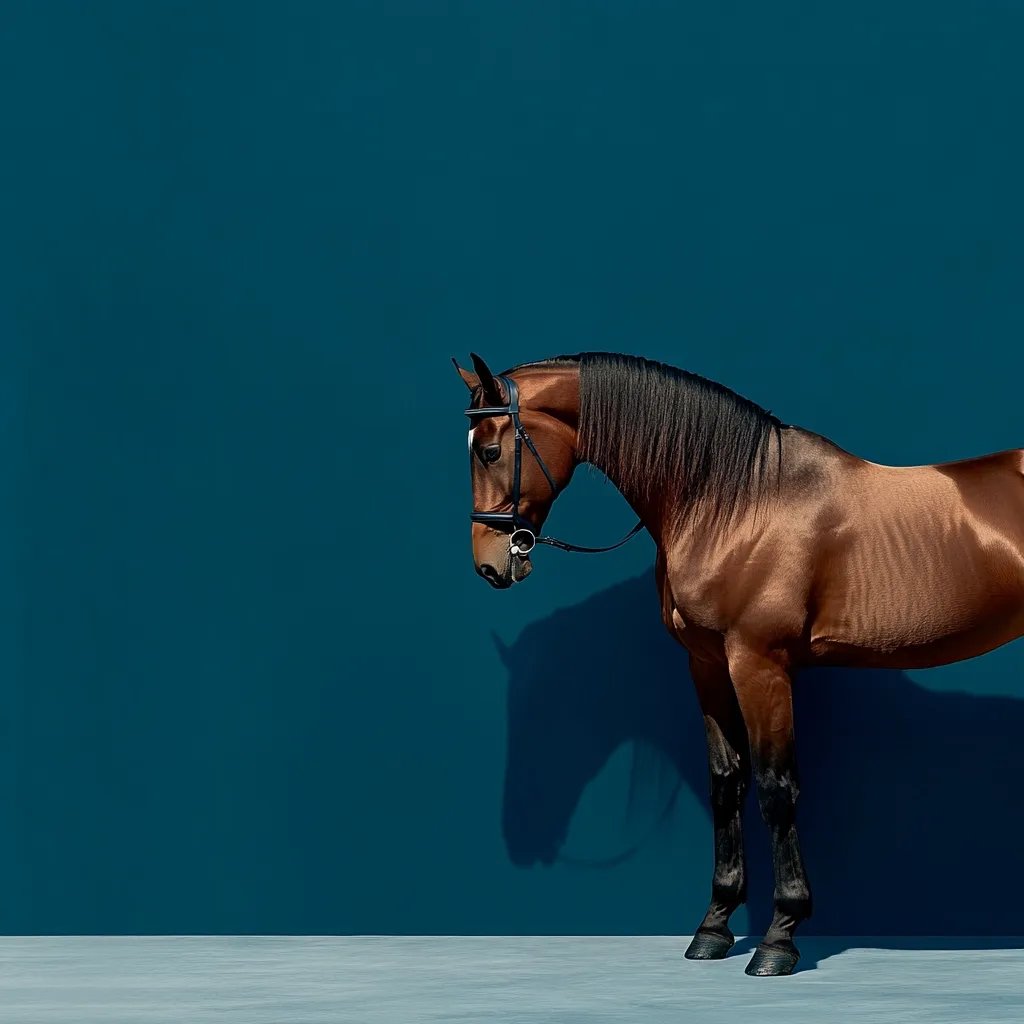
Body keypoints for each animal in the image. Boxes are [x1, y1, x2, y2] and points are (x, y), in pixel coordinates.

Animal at [453, 350, 1024, 977]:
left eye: (489, 450)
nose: (490, 564)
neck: (738, 502)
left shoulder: (759, 665)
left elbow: (776, 788)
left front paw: (779, 937)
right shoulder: (706, 665)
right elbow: (727, 783)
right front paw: (714, 928)